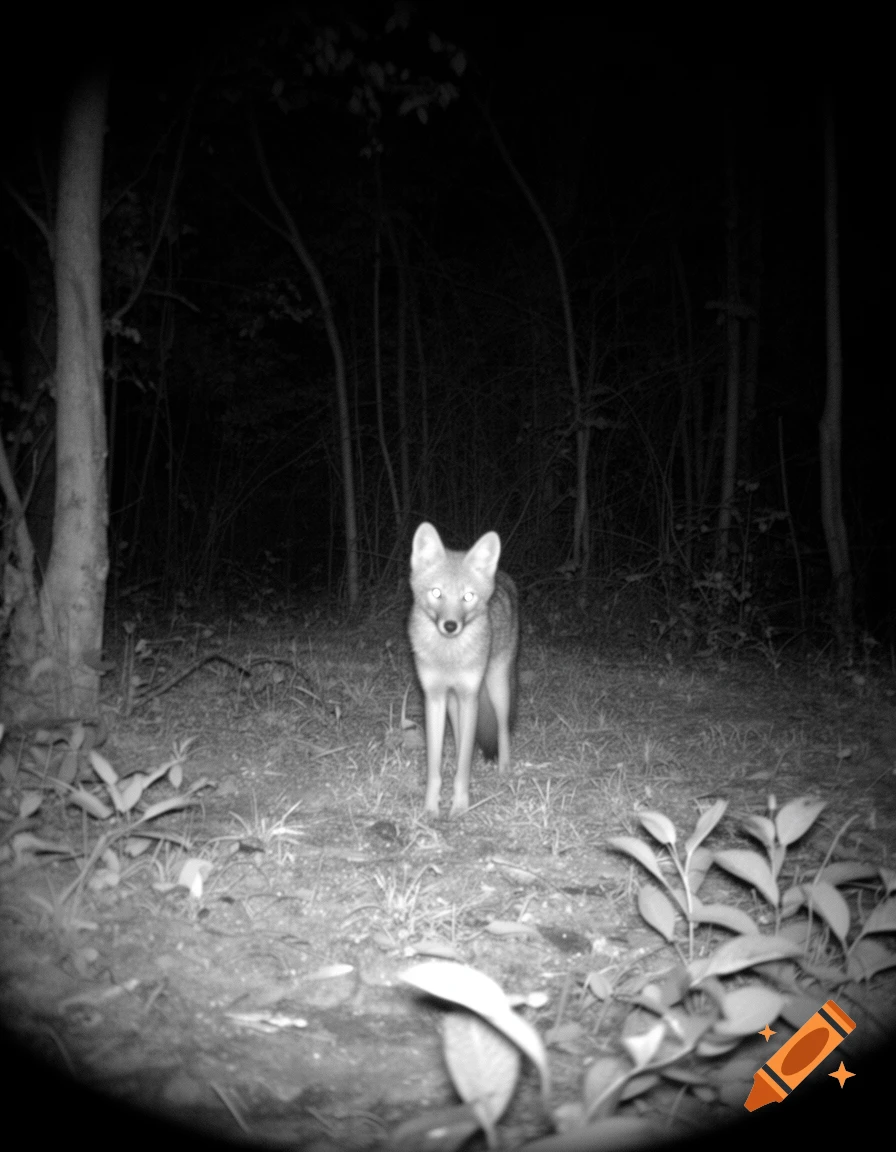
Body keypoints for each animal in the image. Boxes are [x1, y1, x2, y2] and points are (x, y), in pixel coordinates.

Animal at [408, 522, 520, 817]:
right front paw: (430, 808)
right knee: (460, 739)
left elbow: (464, 766)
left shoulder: (470, 695)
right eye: (437, 593)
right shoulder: (434, 698)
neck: (449, 657)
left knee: (502, 731)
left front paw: (459, 805)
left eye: (467, 596)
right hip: (452, 702)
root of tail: (502, 576)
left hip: (496, 687)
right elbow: (435, 766)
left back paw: (504, 770)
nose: (450, 626)